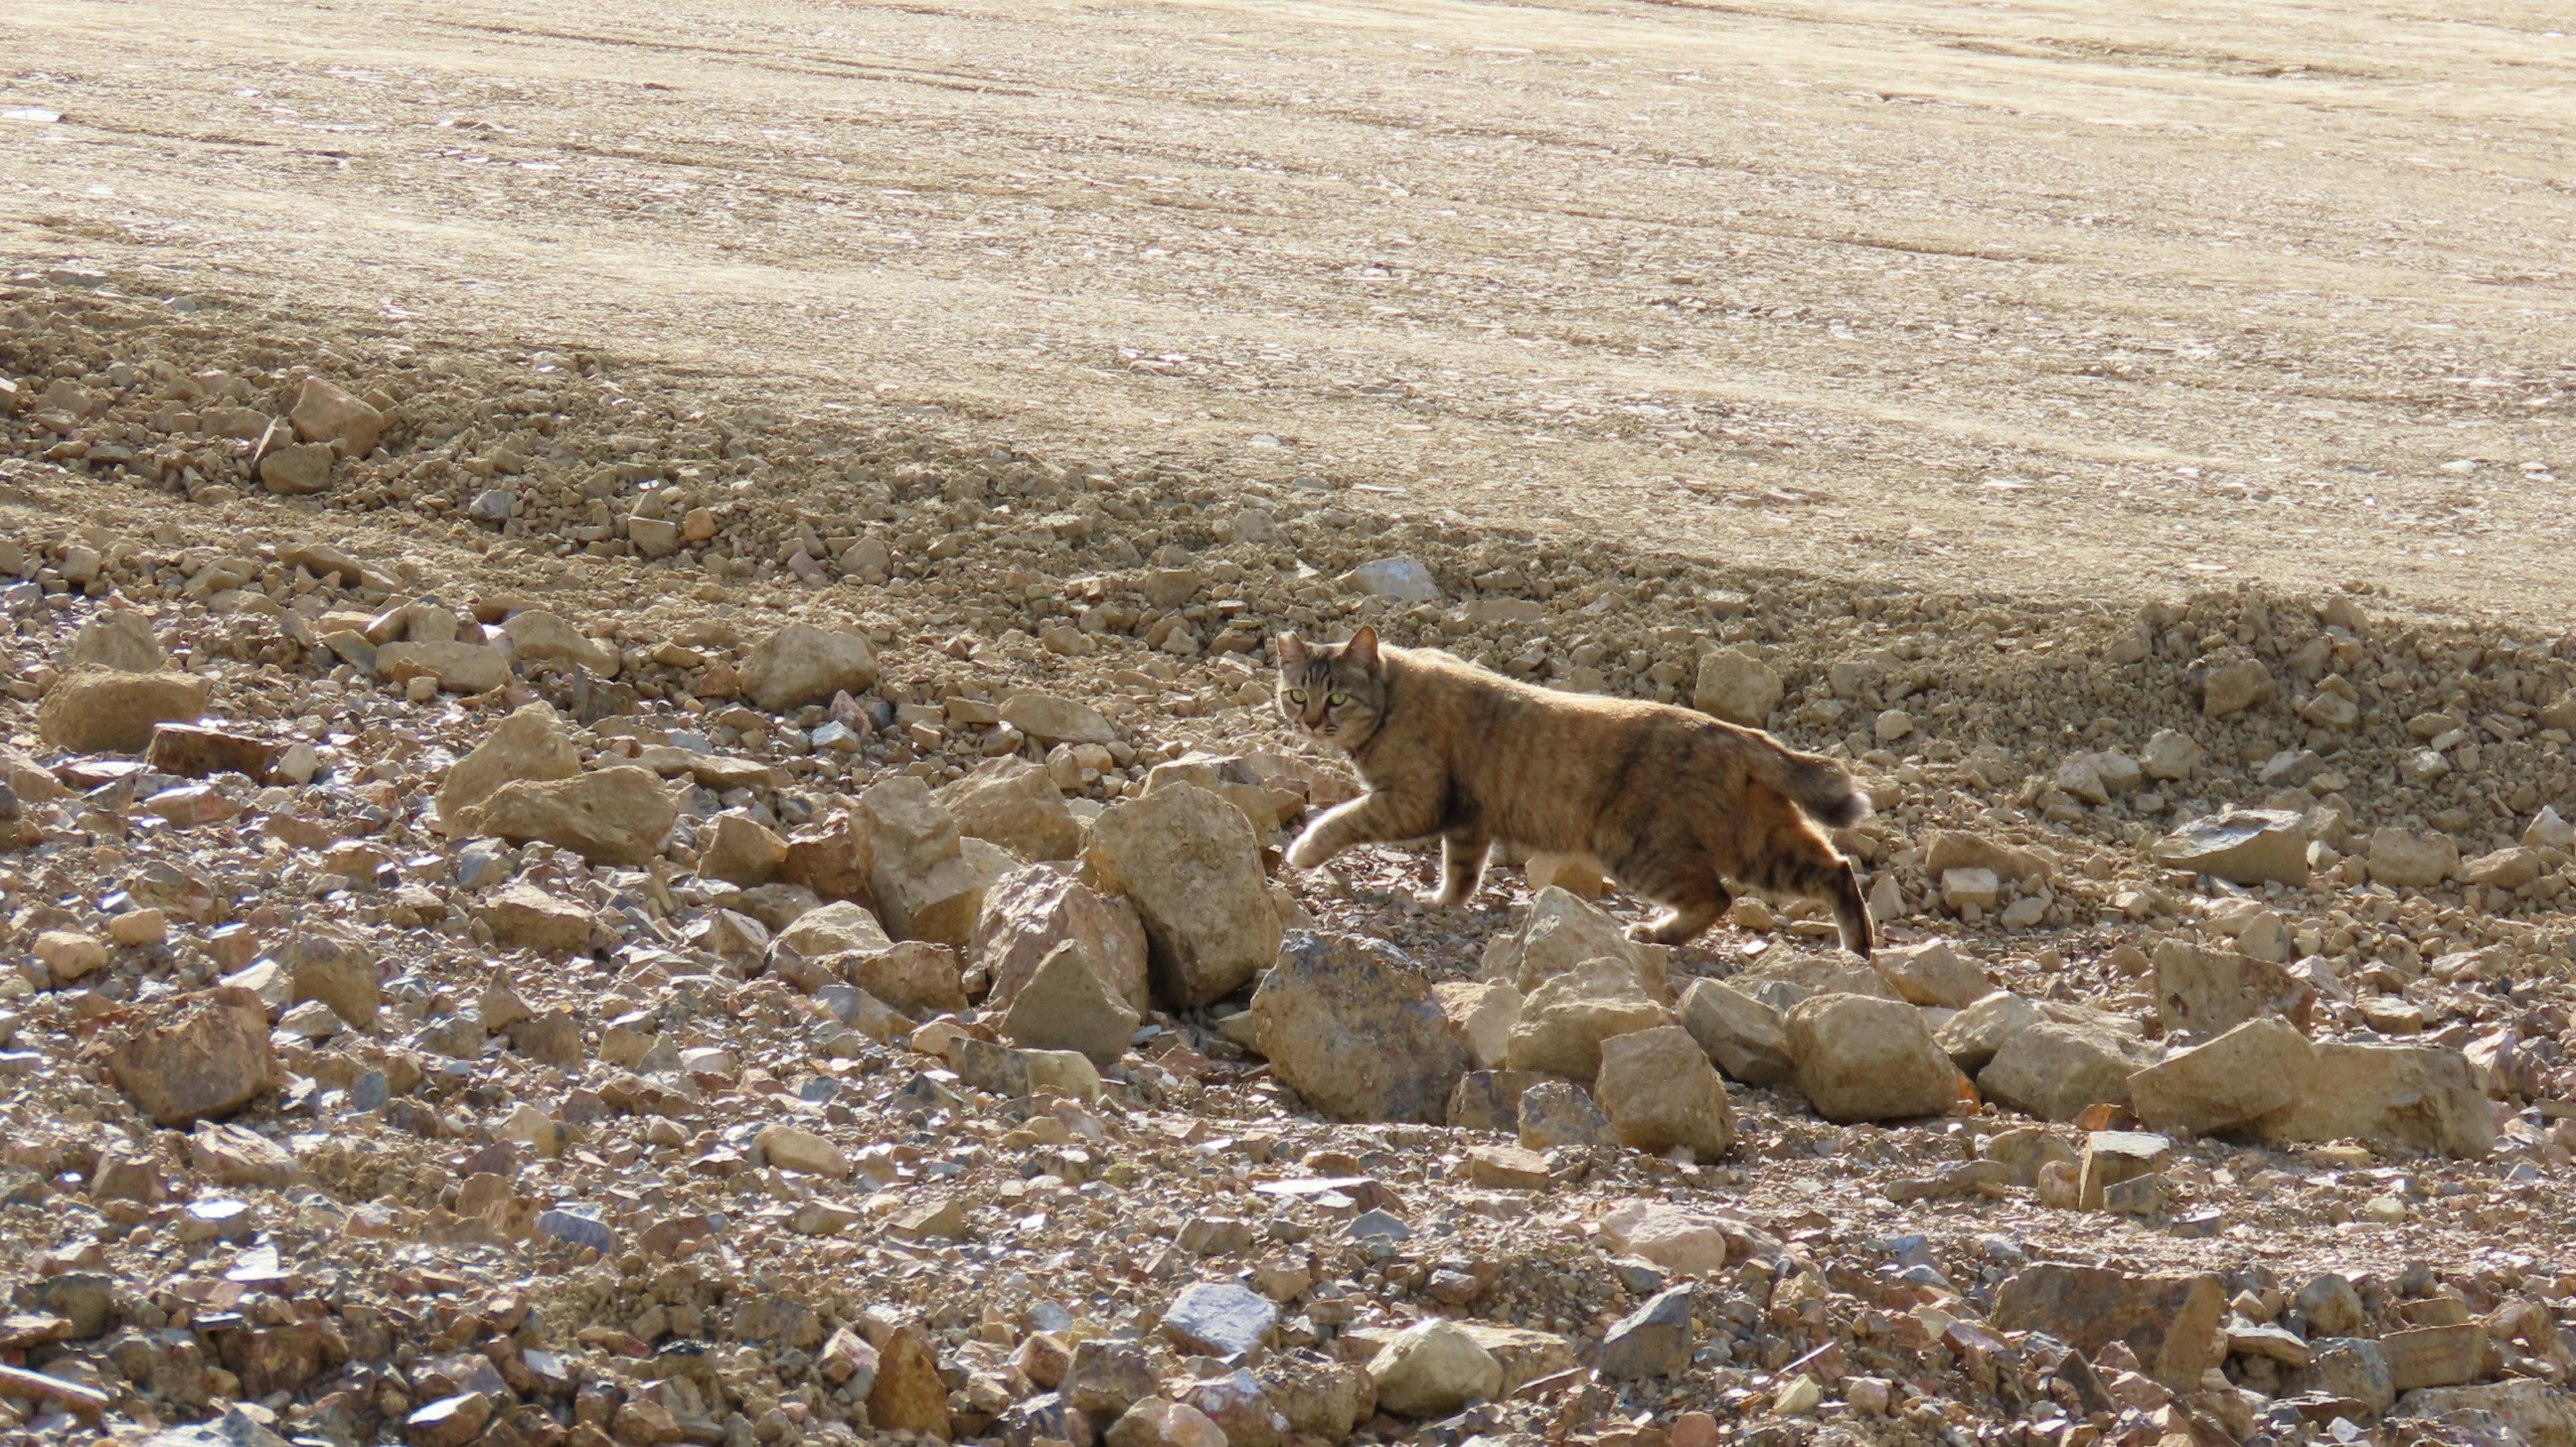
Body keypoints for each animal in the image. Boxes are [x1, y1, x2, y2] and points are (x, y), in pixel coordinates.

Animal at [1283, 623, 1875, 953]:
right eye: (1295, 695)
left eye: (1336, 698)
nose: (1309, 722)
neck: (1394, 691)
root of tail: (1733, 729)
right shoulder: (1469, 820)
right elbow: (1463, 872)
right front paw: (1443, 901)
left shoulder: (1413, 799)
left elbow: (1342, 817)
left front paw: (1304, 851)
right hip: (1761, 842)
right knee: (1836, 869)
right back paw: (1858, 950)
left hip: (1641, 847)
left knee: (1718, 895)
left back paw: (1656, 933)